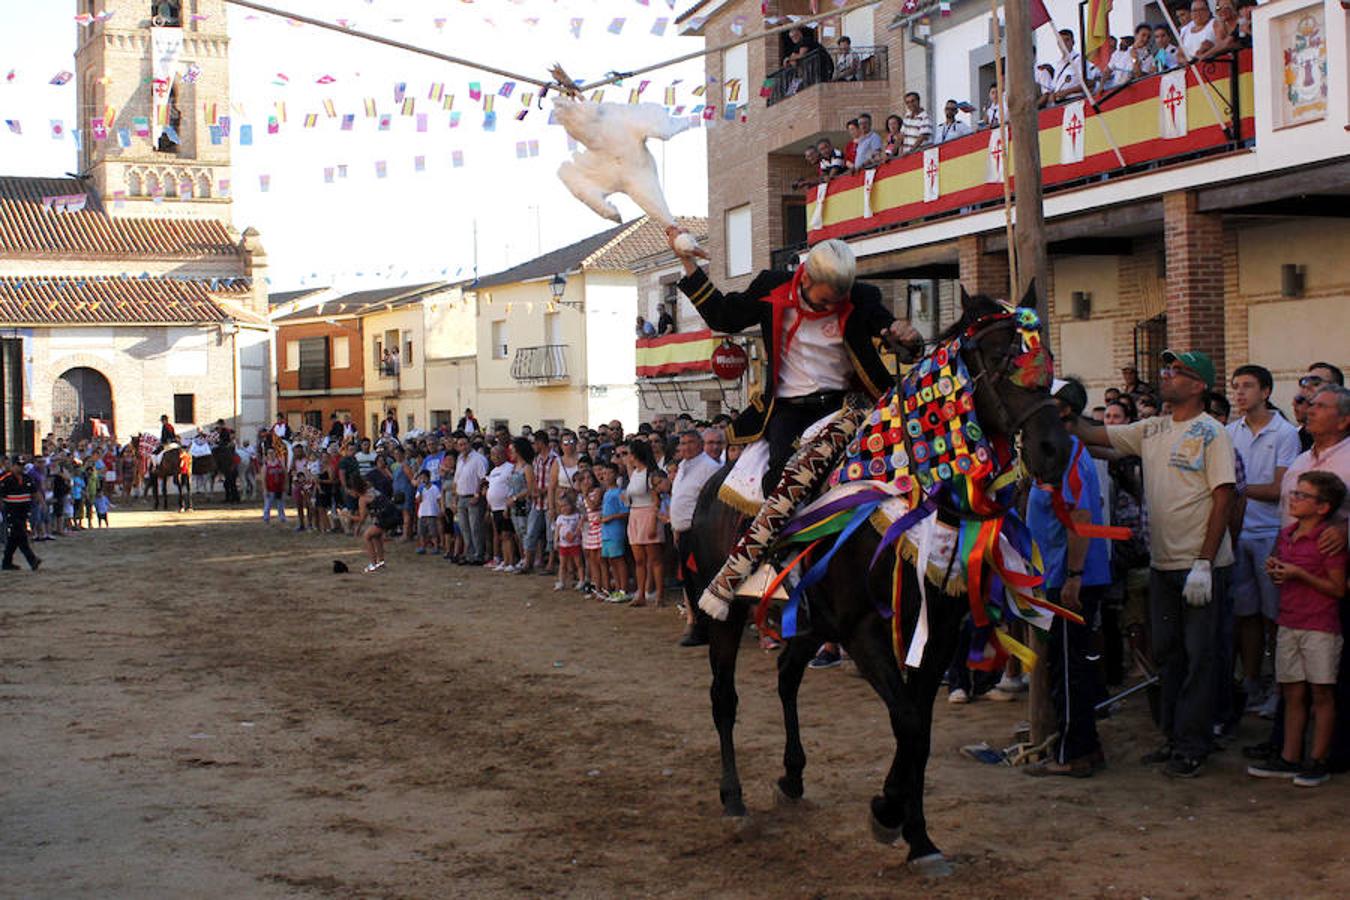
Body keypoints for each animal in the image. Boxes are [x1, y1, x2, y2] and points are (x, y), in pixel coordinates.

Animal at [685, 287, 1074, 874]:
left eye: (1045, 354)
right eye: (998, 355)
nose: (1055, 450)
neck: (909, 489)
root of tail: (712, 483)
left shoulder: (937, 633)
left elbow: (920, 730)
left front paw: (916, 835)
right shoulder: (864, 632)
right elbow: (908, 722)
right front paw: (890, 815)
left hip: (810, 622)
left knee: (786, 676)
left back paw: (791, 776)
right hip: (729, 613)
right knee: (724, 697)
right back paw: (733, 798)